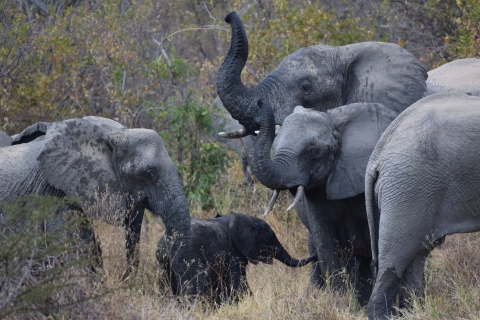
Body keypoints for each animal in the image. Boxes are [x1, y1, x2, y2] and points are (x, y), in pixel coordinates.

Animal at [156, 211, 316, 304]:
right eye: (269, 239)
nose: (315, 254)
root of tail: (166, 242)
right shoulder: (233, 252)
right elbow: (238, 283)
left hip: (161, 260)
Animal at [249, 99, 396, 304]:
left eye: (313, 151)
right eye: (275, 146)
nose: (259, 101)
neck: (333, 120)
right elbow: (325, 244)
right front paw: (340, 304)